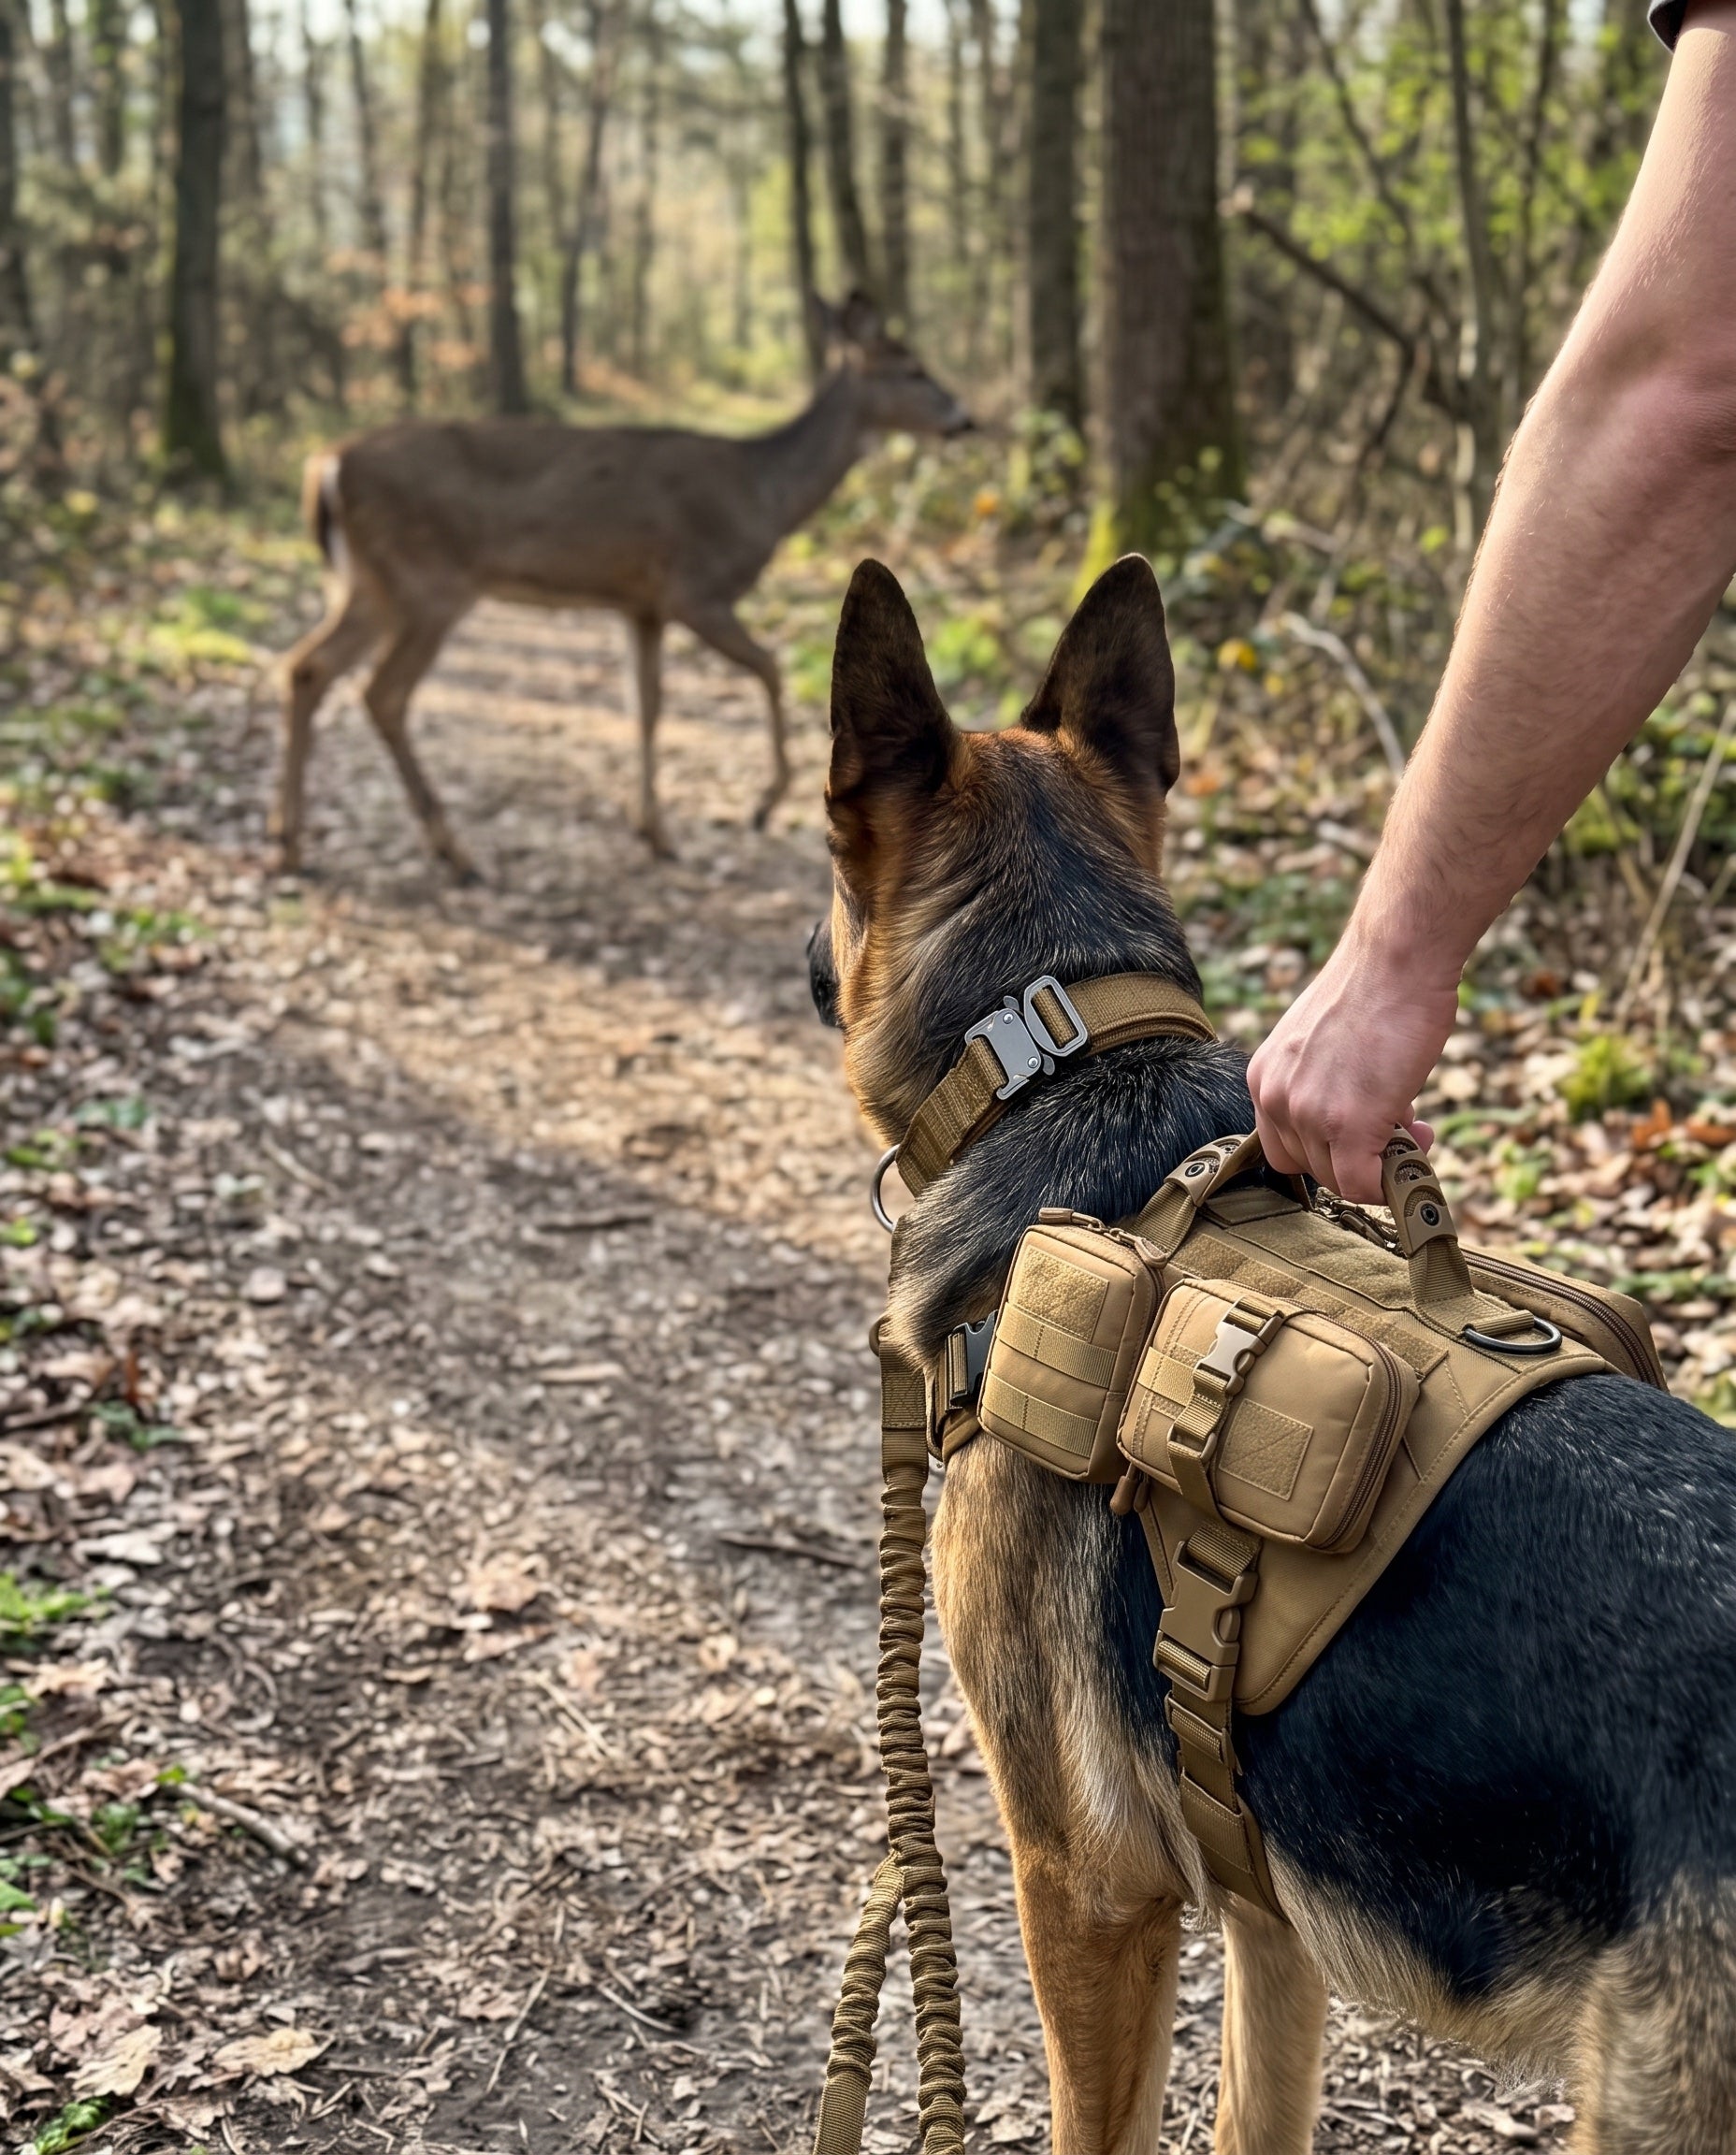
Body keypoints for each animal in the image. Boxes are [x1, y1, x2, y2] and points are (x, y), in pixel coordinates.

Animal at [272, 294, 973, 880]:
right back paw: (453, 851)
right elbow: (770, 669)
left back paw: (291, 844)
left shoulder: (641, 605)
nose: (965, 419)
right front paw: (761, 805)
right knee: (381, 692)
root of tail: (326, 464)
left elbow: (646, 704)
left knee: (307, 666)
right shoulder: (696, 588)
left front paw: (652, 829)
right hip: (427, 583)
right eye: (912, 368)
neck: (765, 494)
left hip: (370, 585)